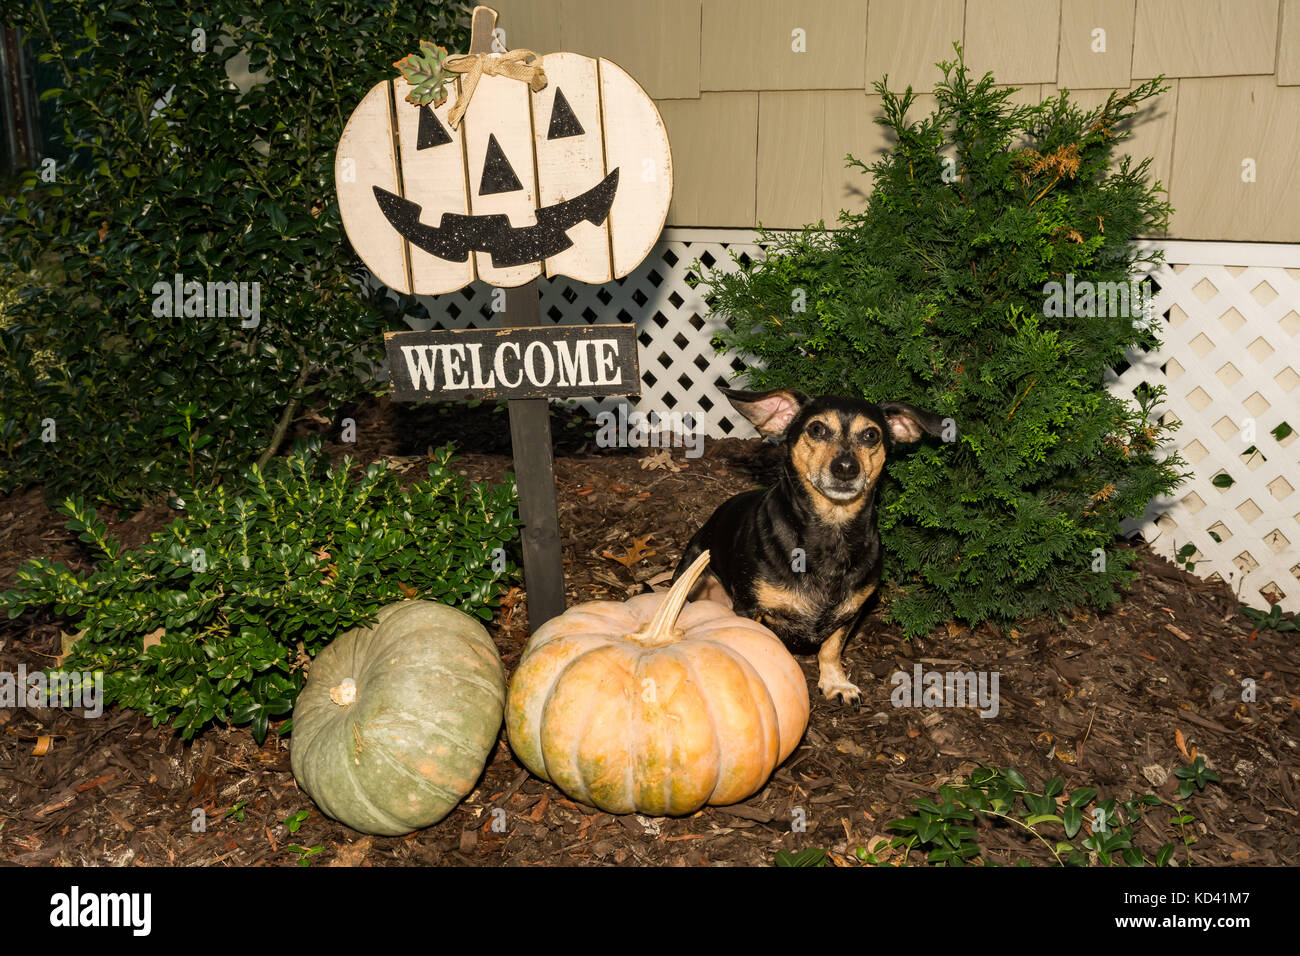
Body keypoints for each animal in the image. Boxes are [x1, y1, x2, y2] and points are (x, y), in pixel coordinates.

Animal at [670, 385, 946, 707]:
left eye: (871, 435)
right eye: (817, 428)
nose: (846, 468)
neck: (830, 532)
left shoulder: (851, 613)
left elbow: (831, 648)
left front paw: (836, 681)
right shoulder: (749, 608)